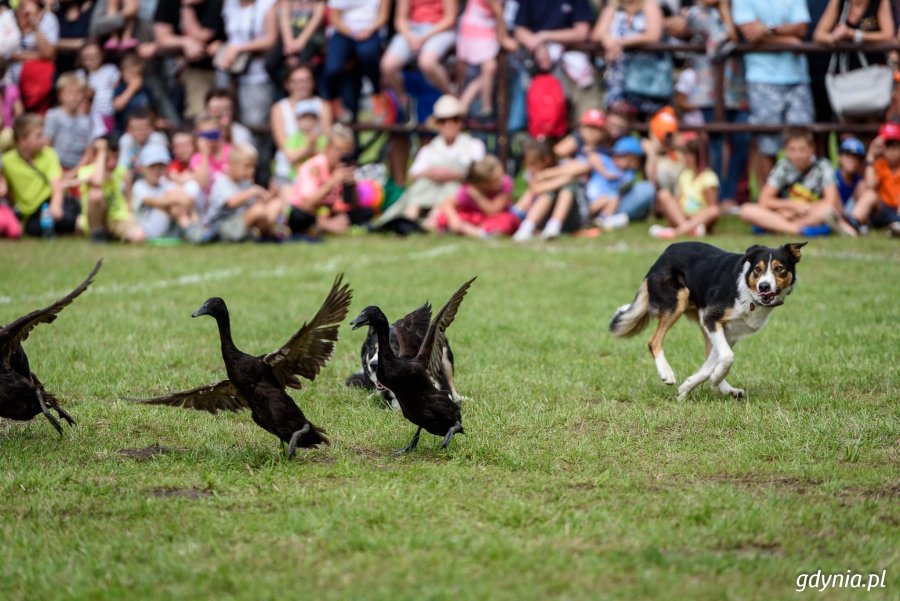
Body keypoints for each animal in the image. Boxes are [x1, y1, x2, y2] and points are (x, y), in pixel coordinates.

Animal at [608, 239, 804, 398]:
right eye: (758, 270)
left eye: (779, 269)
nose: (764, 286)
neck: (749, 294)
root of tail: (664, 253)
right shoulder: (712, 319)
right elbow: (727, 357)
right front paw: (713, 379)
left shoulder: (729, 332)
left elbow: (712, 363)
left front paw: (687, 388)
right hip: (678, 301)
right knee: (653, 341)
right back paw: (666, 372)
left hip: (702, 318)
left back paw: (727, 389)